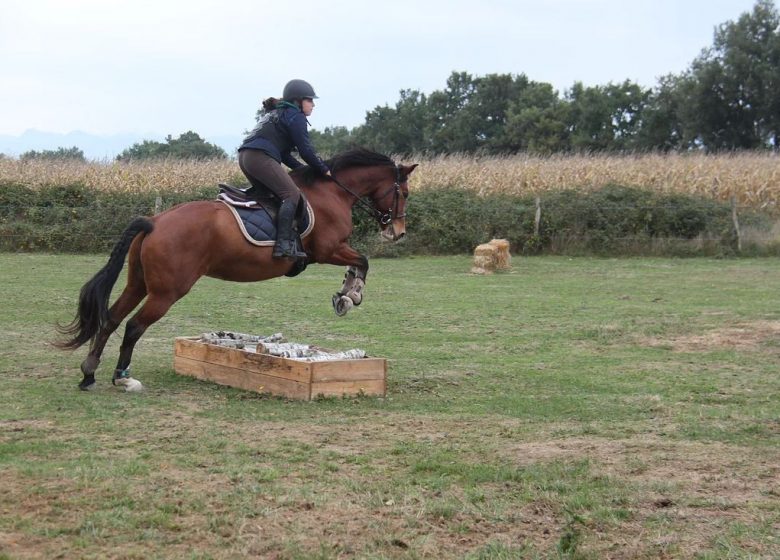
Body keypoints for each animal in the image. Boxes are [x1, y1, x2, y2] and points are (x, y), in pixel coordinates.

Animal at [58, 149, 418, 390]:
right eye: (404, 192)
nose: (398, 233)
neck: (331, 192)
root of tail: (155, 221)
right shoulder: (329, 249)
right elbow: (363, 261)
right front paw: (349, 296)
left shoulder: (332, 251)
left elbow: (359, 262)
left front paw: (345, 293)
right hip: (167, 291)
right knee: (133, 326)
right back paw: (123, 378)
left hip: (139, 282)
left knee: (112, 318)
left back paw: (89, 373)